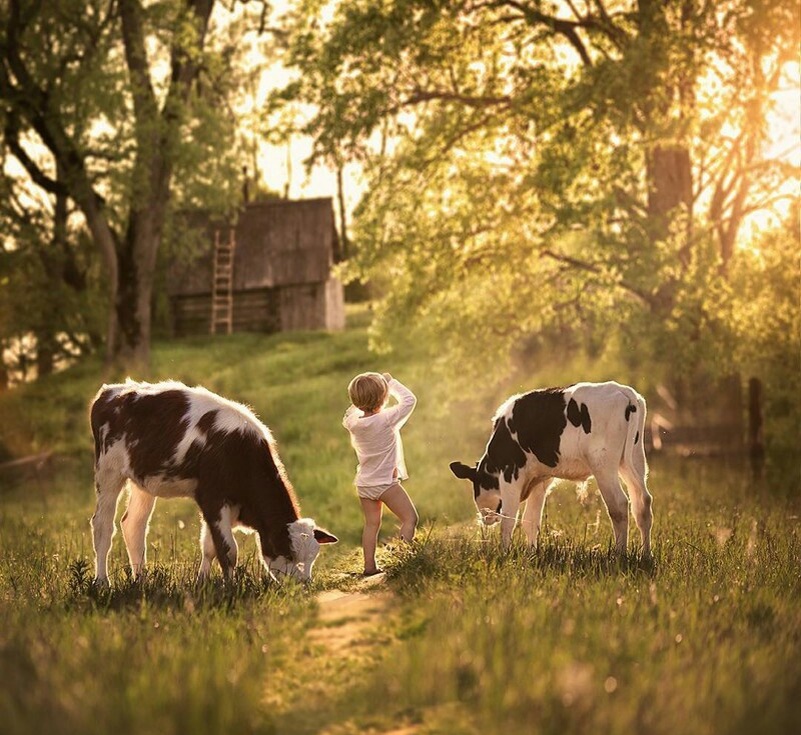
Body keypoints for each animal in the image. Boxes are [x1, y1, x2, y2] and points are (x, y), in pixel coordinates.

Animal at [89, 382, 336, 584]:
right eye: (289, 553)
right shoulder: (213, 499)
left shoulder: (219, 505)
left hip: (143, 483)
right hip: (108, 471)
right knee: (103, 526)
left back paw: (140, 580)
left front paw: (203, 583)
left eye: (313, 558)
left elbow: (209, 547)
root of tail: (112, 390)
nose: (304, 585)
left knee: (134, 525)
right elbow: (227, 550)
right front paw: (230, 588)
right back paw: (102, 582)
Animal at [450, 382, 648, 556]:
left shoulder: (510, 475)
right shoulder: (541, 478)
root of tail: (624, 391)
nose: (486, 518)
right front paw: (531, 553)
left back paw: (620, 554)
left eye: (477, 486)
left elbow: (508, 519)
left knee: (619, 505)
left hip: (603, 466)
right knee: (642, 502)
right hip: (634, 460)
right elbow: (530, 520)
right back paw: (645, 554)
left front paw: (504, 553)